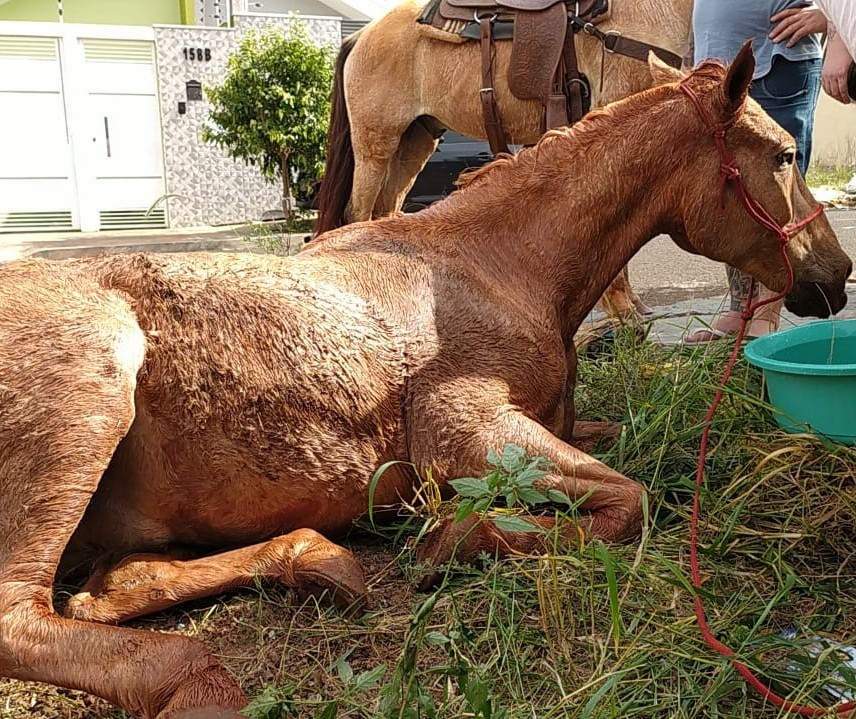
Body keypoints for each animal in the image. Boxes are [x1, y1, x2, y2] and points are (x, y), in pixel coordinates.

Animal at [0, 47, 848, 716]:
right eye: (782, 154)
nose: (837, 275)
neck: (498, 264)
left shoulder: (554, 425)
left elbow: (629, 459)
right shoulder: (460, 431)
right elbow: (629, 498)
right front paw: (454, 540)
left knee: (114, 581)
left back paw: (315, 562)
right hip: (88, 404)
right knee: (26, 617)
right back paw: (204, 682)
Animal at [314, 0, 696, 318]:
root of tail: (362, 34)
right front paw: (623, 311)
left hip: (414, 144)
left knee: (385, 213)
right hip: (375, 146)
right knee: (357, 214)